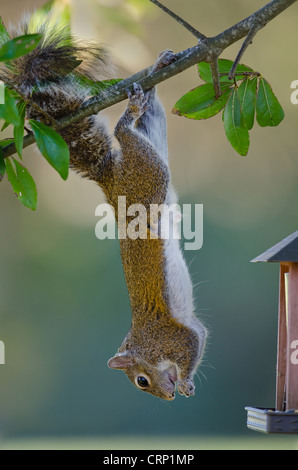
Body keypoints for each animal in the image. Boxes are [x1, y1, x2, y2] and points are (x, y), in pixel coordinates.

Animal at [1, 17, 207, 400]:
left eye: (141, 380)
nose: (168, 396)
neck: (145, 348)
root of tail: (110, 177)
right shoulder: (186, 331)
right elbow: (200, 334)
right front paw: (187, 382)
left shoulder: (172, 337)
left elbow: (192, 341)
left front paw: (186, 381)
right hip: (154, 154)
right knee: (152, 114)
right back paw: (156, 71)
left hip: (146, 178)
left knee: (125, 131)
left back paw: (130, 111)